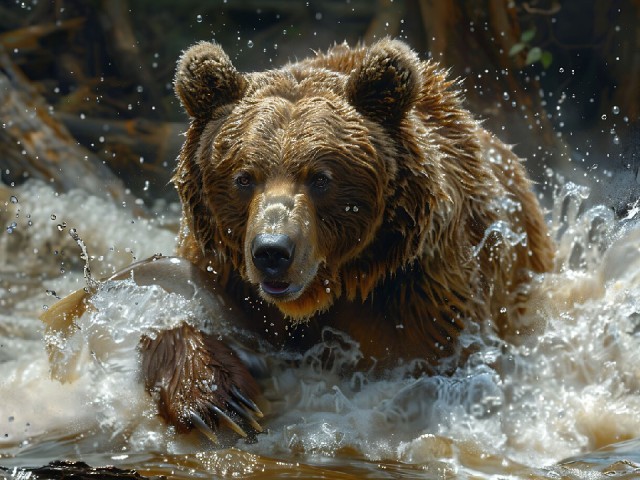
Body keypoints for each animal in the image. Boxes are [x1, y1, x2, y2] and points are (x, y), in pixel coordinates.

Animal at [140, 39, 556, 440]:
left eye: (321, 178)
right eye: (244, 177)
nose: (272, 252)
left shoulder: (423, 289)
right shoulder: (223, 269)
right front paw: (217, 399)